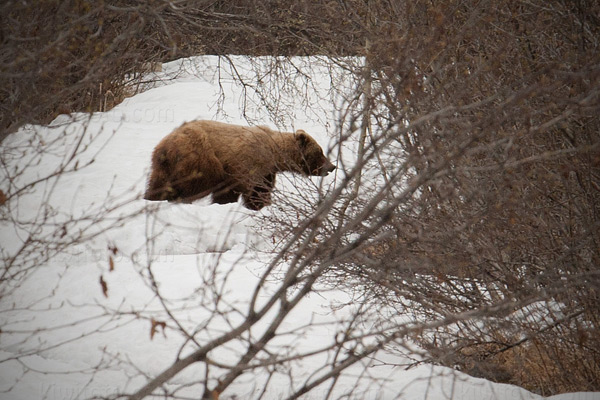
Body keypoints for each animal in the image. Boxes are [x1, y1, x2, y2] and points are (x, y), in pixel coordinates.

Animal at [144, 120, 336, 211]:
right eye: (319, 152)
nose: (332, 166)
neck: (273, 154)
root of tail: (166, 146)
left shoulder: (266, 172)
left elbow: (259, 190)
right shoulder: (247, 163)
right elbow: (245, 189)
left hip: (162, 165)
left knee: (158, 183)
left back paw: (151, 198)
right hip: (200, 157)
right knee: (191, 184)